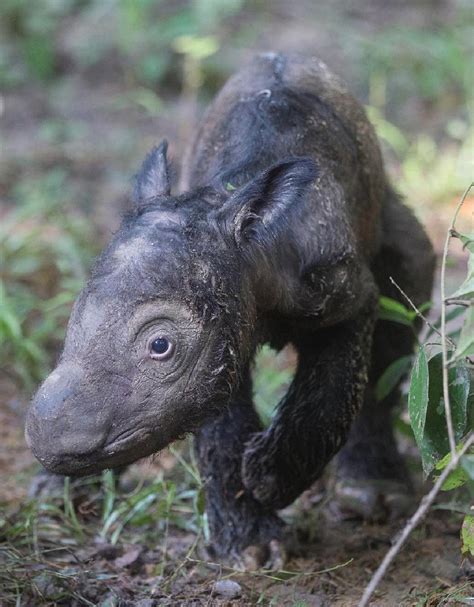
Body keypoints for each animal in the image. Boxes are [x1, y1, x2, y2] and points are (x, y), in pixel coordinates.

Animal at [25, 53, 434, 568]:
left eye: (161, 345)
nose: (51, 441)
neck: (255, 248)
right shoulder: (221, 326)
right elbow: (218, 424)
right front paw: (252, 547)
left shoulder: (343, 293)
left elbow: (333, 391)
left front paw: (267, 479)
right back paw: (53, 495)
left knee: (404, 293)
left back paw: (372, 495)